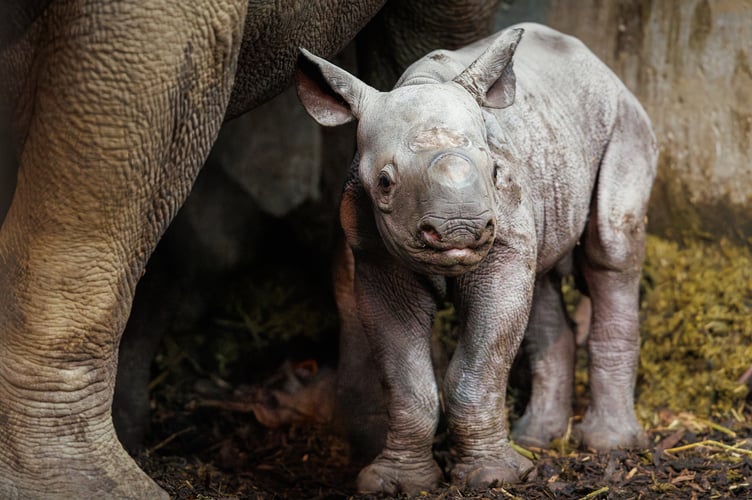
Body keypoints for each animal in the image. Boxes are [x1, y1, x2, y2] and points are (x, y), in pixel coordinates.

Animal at [295, 23, 657, 494]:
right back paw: (536, 439)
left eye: (496, 173)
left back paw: (609, 445)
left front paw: (493, 477)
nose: (460, 230)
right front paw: (396, 483)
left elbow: (479, 365)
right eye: (385, 182)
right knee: (541, 277)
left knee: (611, 249)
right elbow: (405, 381)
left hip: (624, 120)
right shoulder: (375, 258)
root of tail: (603, 68)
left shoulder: (501, 239)